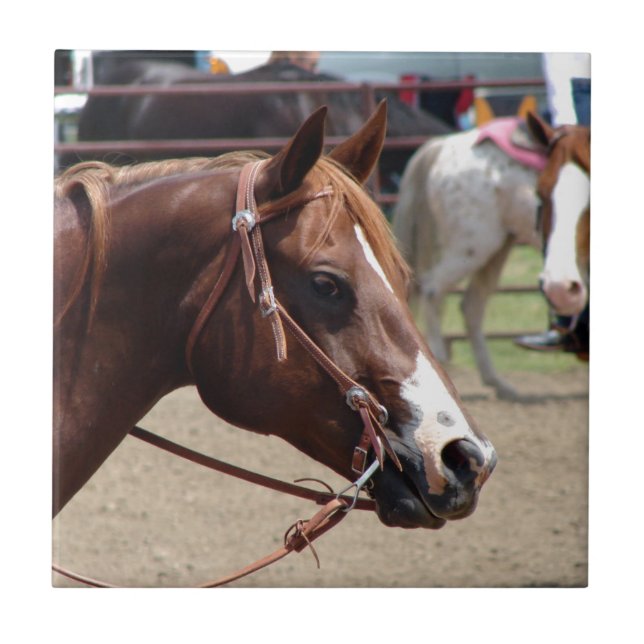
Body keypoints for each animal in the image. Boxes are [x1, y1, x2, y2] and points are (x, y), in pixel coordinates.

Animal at [392, 116, 546, 399]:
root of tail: (441, 146)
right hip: (474, 245)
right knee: (433, 289)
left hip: (498, 247)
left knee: (471, 306)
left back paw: (498, 382)